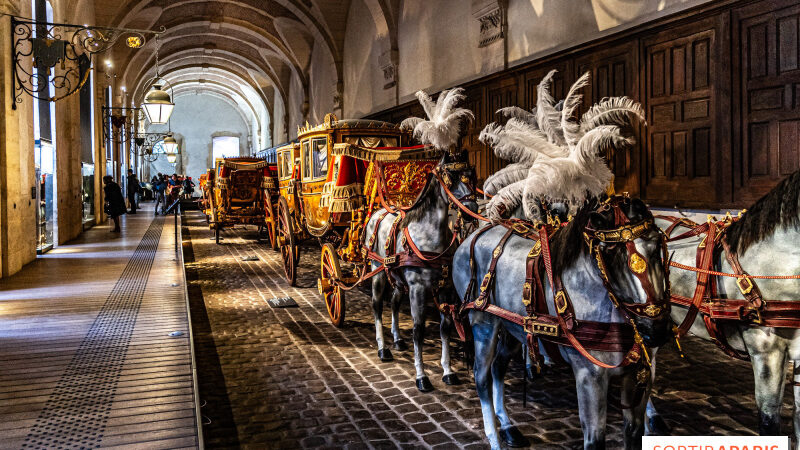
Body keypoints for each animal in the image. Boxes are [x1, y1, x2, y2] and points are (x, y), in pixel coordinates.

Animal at [366, 151, 478, 390]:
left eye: (470, 175)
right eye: (450, 178)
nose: (472, 211)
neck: (430, 237)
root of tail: (378, 212)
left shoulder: (445, 289)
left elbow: (445, 328)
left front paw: (448, 371)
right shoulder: (418, 289)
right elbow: (419, 330)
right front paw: (421, 376)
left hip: (398, 279)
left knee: (394, 303)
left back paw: (398, 339)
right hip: (377, 271)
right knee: (377, 305)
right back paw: (383, 348)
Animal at [454, 199, 672, 450]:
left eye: (657, 245)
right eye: (610, 253)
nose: (656, 329)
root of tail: (474, 236)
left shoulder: (638, 374)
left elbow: (634, 434)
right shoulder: (589, 376)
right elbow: (594, 441)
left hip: (513, 328)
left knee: (498, 367)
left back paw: (508, 428)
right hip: (484, 322)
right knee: (482, 377)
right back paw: (495, 439)